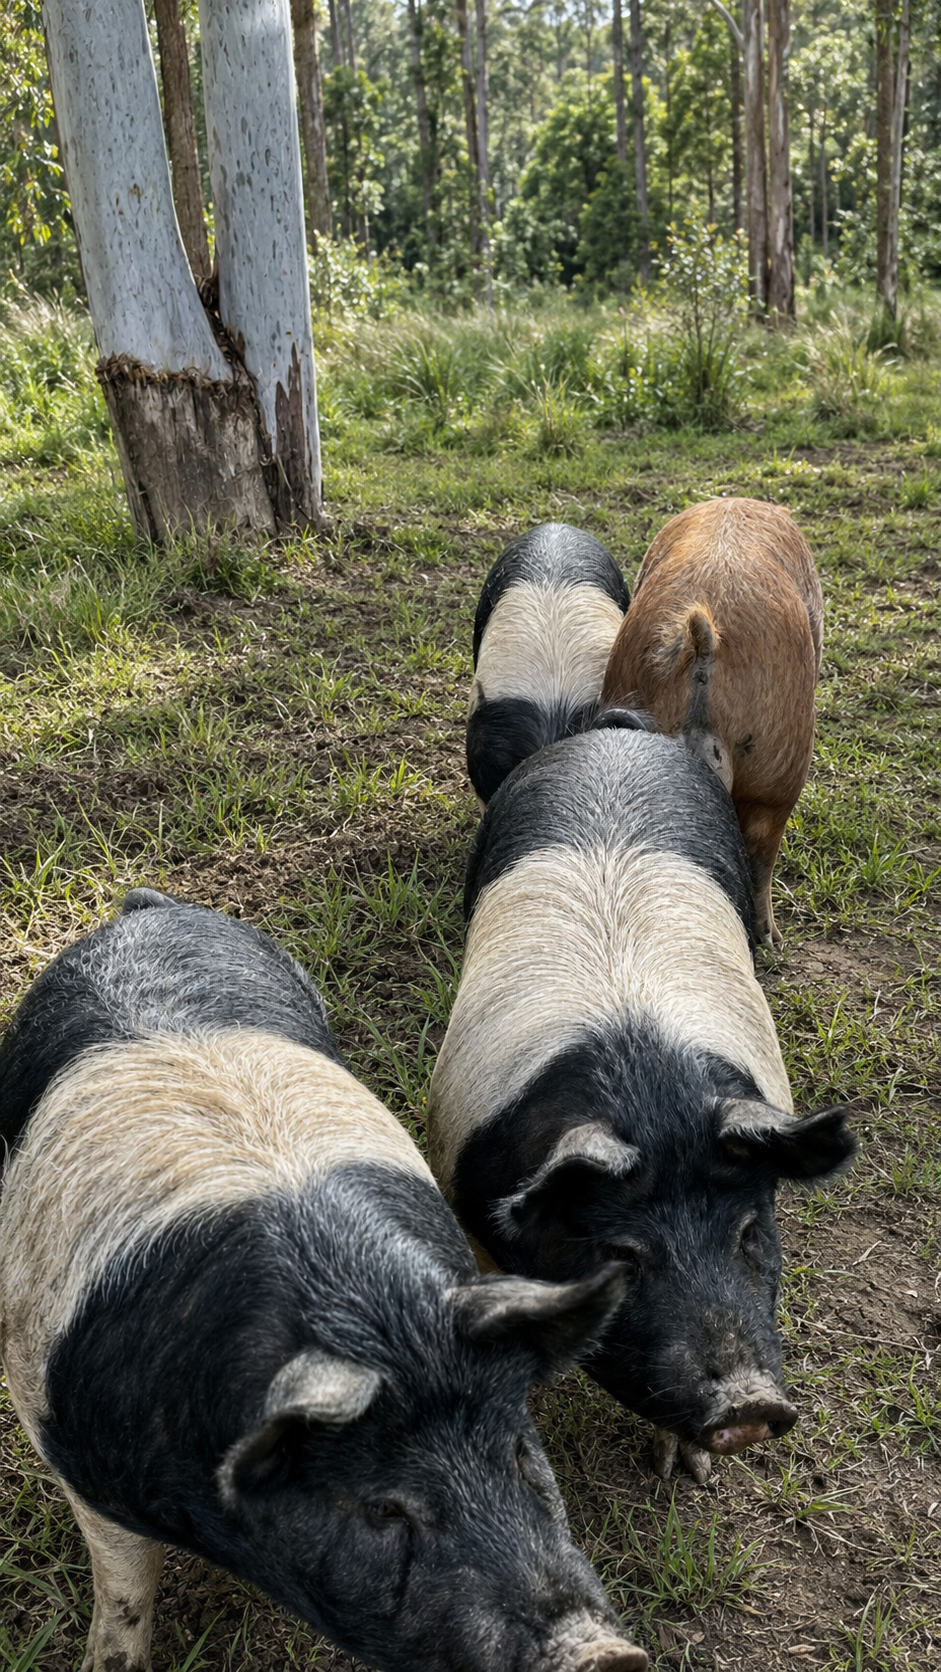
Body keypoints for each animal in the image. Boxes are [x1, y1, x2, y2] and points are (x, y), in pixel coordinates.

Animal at [0, 888, 647, 1672]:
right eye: (382, 1508)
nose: (604, 1653)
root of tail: (147, 910)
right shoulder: (62, 1438)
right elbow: (124, 1585)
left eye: (521, 1456)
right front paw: (106, 1661)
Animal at [427, 730, 855, 1483]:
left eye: (749, 1232)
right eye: (623, 1254)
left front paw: (685, 1473)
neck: (650, 1099)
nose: (748, 1406)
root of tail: (613, 734)